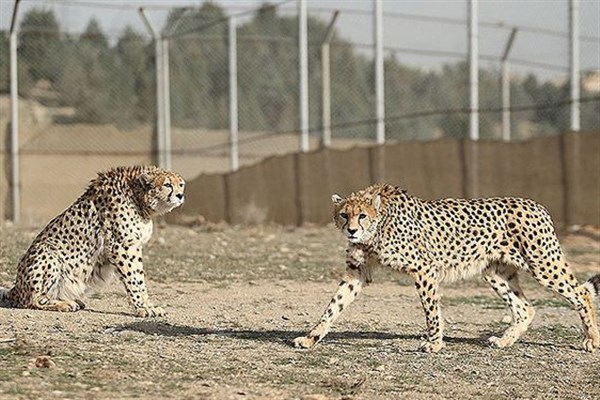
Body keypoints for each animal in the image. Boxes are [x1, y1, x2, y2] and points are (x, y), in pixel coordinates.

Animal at [0, 165, 184, 316]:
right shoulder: (123, 247)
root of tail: (16, 288)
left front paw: (146, 305)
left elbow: (138, 277)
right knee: (32, 301)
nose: (181, 195)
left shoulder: (133, 246)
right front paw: (144, 307)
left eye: (181, 184)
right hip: (47, 251)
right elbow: (135, 278)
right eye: (167, 185)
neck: (136, 196)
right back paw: (64, 304)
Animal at [294, 183, 600, 352]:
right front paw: (311, 338)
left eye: (361, 216)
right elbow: (333, 306)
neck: (378, 227)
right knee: (526, 308)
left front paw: (434, 343)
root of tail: (536, 204)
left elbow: (431, 310)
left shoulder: (425, 269)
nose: (352, 230)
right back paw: (504, 341)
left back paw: (591, 340)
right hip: (495, 271)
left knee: (582, 293)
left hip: (542, 263)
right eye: (344, 215)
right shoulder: (356, 272)